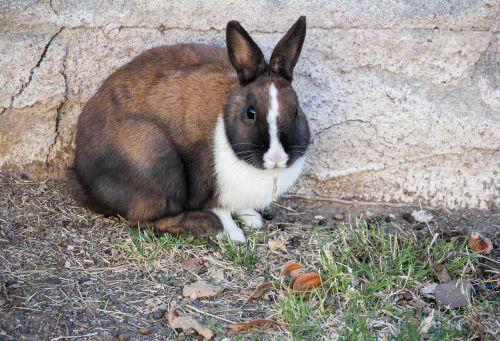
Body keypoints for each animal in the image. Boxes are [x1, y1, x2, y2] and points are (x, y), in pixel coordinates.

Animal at [70, 15, 310, 242]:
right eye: (250, 113)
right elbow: (221, 211)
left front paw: (253, 219)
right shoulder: (209, 188)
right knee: (144, 220)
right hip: (154, 159)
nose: (277, 157)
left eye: (296, 111)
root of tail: (81, 177)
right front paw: (234, 235)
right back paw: (204, 224)